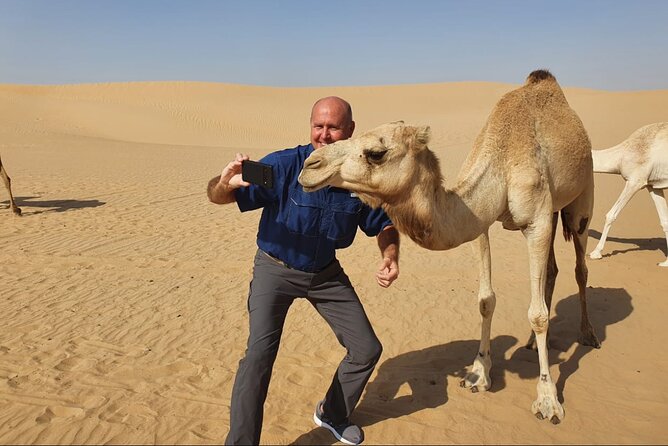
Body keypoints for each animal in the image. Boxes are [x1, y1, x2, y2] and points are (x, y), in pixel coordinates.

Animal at [299, 70, 600, 424]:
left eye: (376, 152)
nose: (310, 164)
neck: (502, 163)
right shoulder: (480, 223)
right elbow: (486, 300)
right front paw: (478, 373)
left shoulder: (537, 220)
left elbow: (537, 314)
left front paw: (548, 400)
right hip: (555, 211)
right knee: (552, 269)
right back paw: (533, 343)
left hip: (581, 199)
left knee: (580, 266)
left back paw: (588, 334)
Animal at [589, 122, 668, 266]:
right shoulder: (653, 185)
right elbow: (665, 221)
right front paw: (666, 262)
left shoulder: (635, 181)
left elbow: (611, 215)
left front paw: (596, 253)